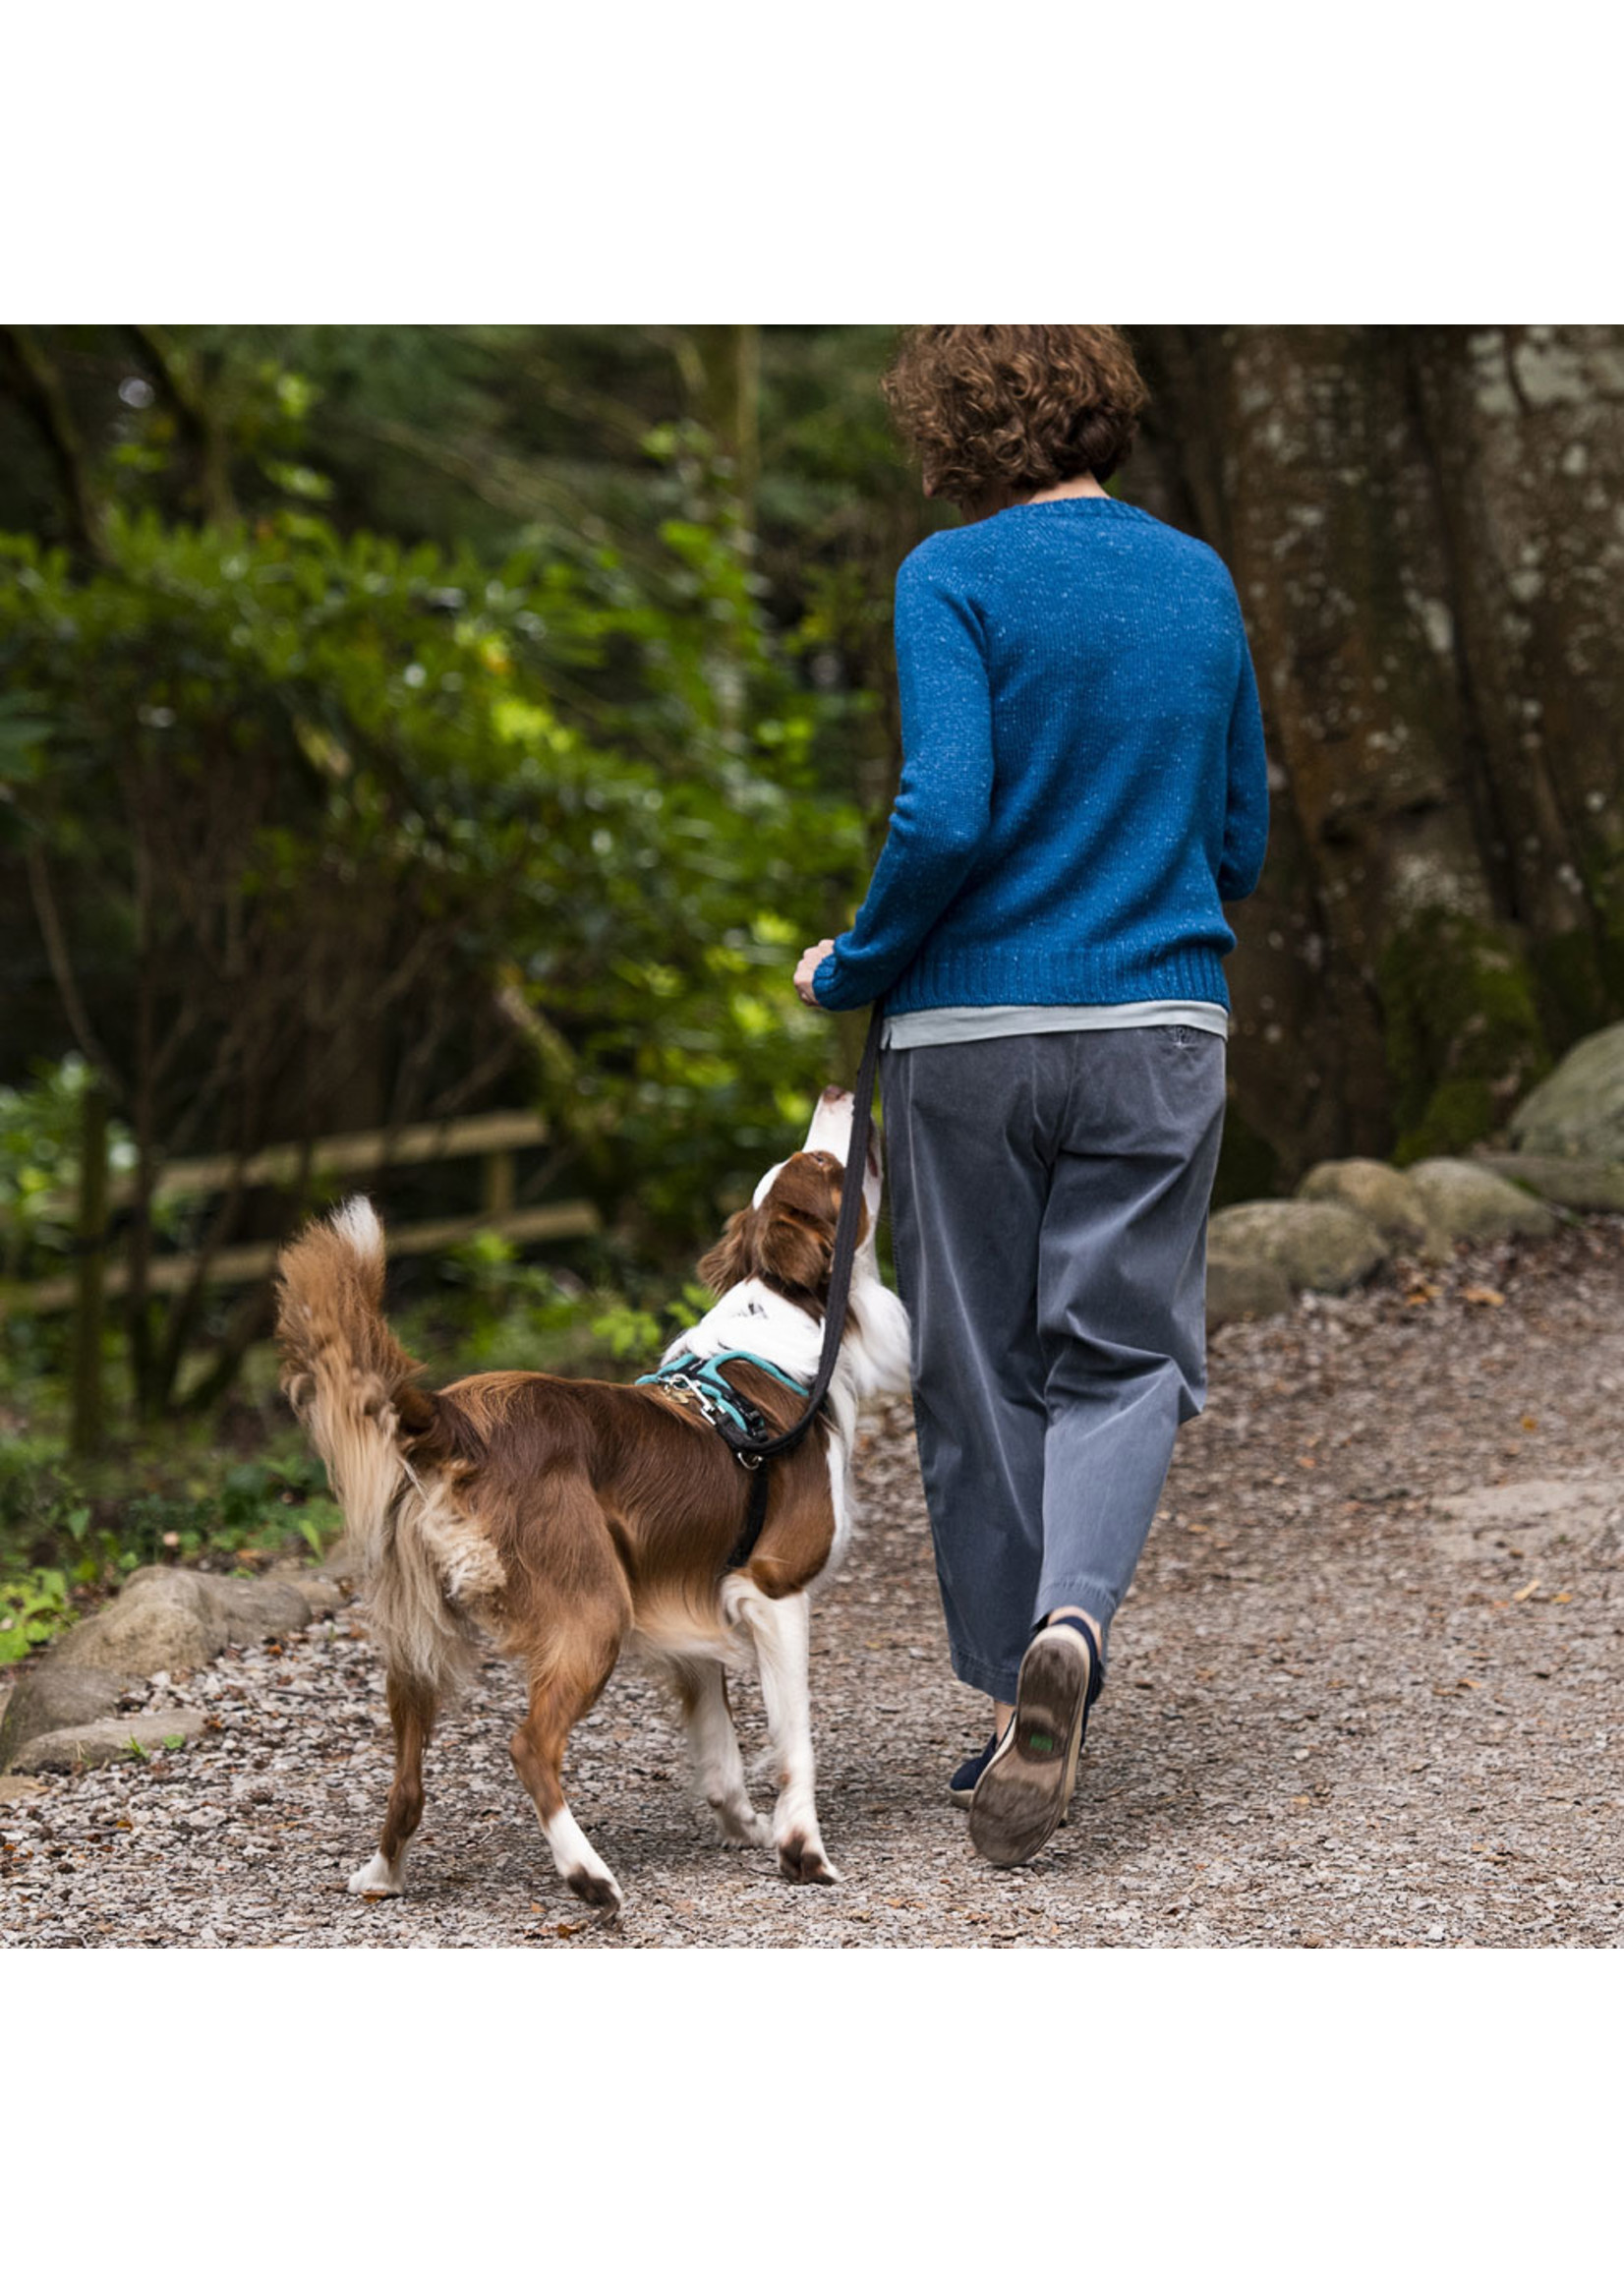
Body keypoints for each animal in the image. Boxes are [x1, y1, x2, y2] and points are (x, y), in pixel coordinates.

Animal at [276, 1081, 909, 1919]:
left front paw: (746, 1826)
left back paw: (383, 1874)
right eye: (824, 1165)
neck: (790, 1323)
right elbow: (793, 1739)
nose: (840, 1089)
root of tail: (452, 1418)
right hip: (593, 1609)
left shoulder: (690, 1599)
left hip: (418, 1638)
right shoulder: (772, 1588)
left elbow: (721, 1750)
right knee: (527, 1745)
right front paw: (801, 1846)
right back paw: (588, 1874)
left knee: (407, 1777)